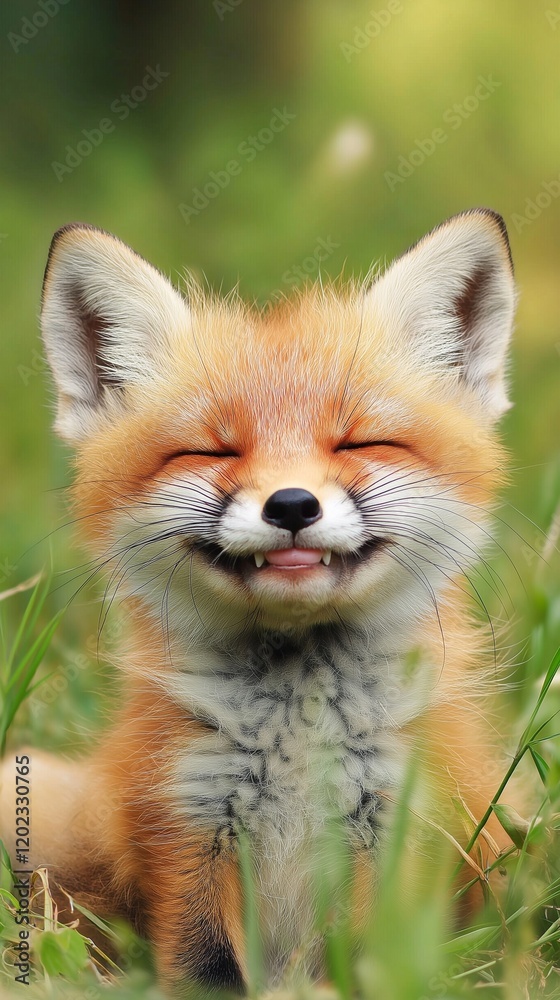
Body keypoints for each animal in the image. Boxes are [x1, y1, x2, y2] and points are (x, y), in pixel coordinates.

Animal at [1, 209, 522, 995]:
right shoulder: (185, 822)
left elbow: (365, 964)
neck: (299, 736)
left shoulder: (397, 822)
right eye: (210, 452)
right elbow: (207, 970)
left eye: (359, 441)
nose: (293, 503)